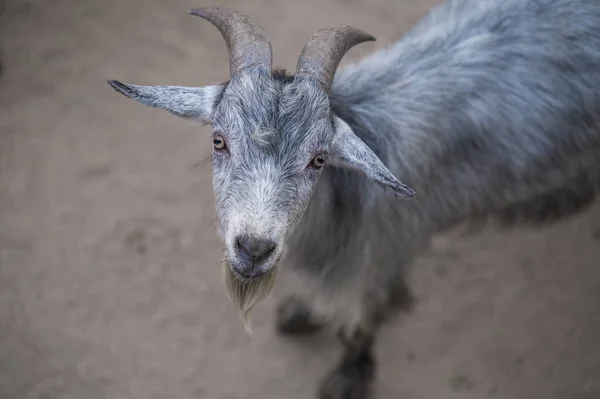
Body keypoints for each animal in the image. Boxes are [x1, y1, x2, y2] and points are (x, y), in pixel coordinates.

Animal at [106, 0, 600, 398]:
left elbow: (360, 324)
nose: (253, 249)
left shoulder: (380, 256)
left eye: (319, 159)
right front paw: (303, 313)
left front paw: (347, 379)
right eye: (218, 140)